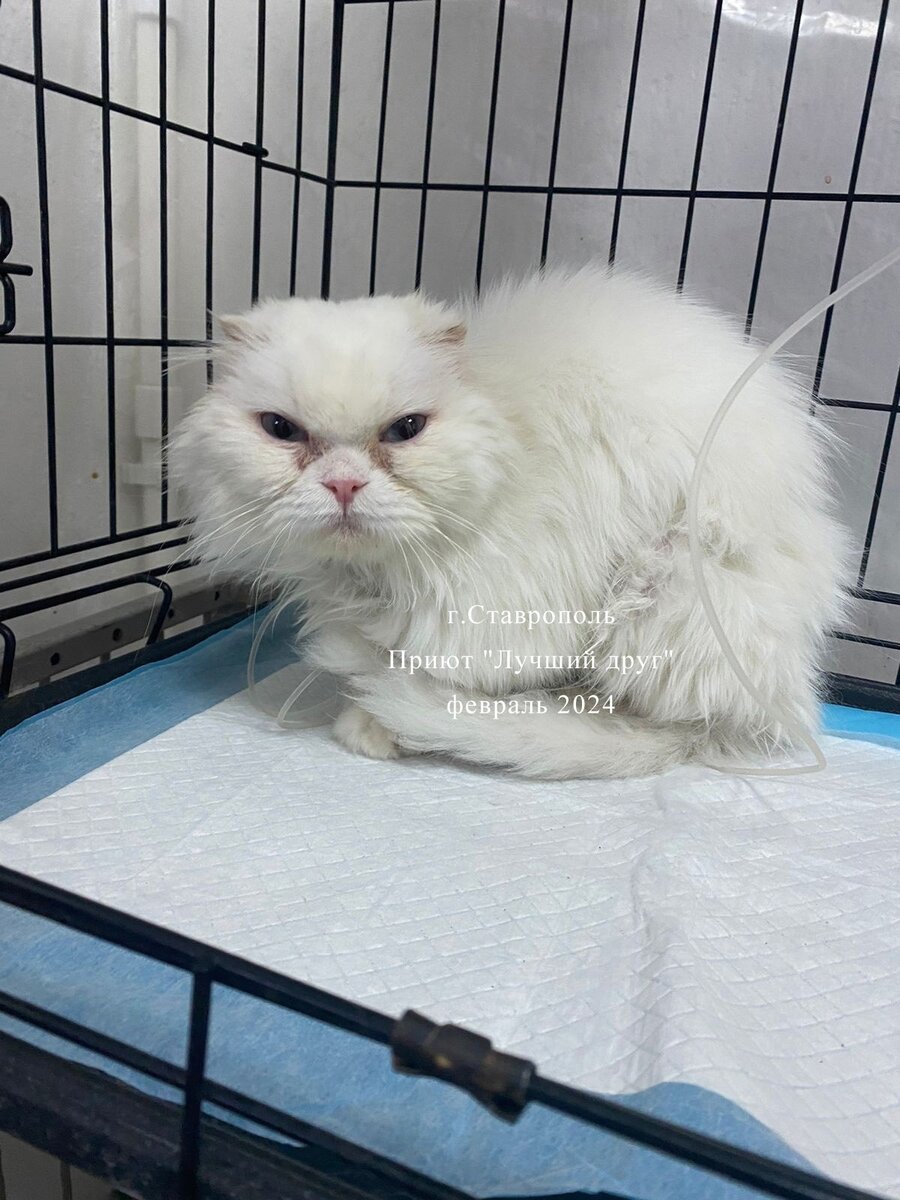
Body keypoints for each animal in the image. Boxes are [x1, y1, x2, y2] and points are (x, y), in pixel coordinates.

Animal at [170, 267, 849, 779]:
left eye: (406, 430)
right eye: (280, 429)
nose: (343, 484)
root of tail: (791, 692)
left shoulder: (502, 614)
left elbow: (457, 677)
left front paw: (376, 725)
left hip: (664, 589)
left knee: (663, 725)